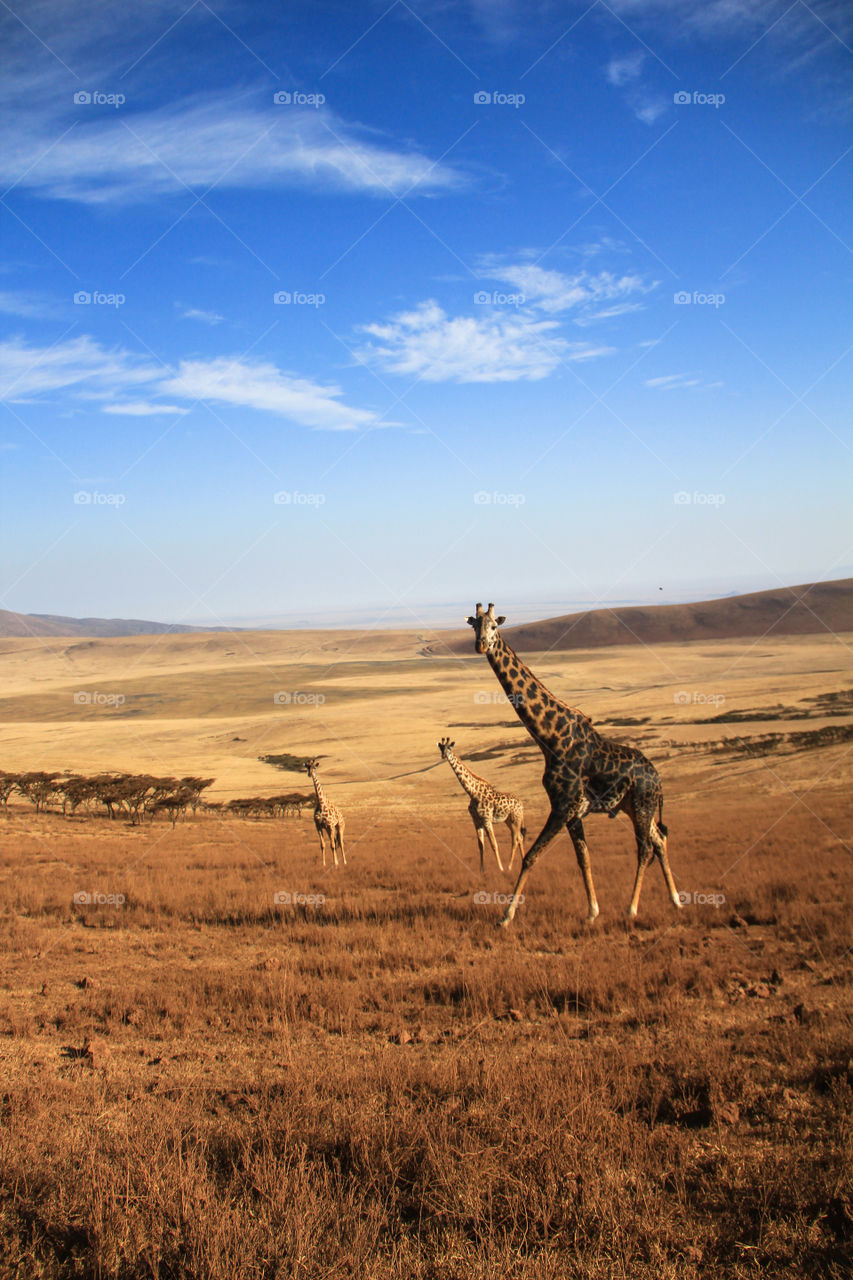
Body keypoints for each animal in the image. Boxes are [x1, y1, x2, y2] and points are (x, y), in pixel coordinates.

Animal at [437, 737, 526, 874]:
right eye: (441, 748)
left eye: (449, 748)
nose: (443, 756)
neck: (473, 793)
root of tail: (521, 804)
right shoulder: (476, 820)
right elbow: (481, 845)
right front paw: (482, 870)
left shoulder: (486, 819)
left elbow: (494, 844)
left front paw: (500, 868)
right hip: (508, 821)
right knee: (520, 837)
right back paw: (523, 860)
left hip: (516, 819)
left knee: (516, 839)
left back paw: (509, 867)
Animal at [466, 603, 681, 927]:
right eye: (474, 626)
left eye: (494, 626)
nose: (481, 645)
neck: (550, 738)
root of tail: (658, 779)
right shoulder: (573, 812)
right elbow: (584, 859)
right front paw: (592, 911)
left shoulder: (563, 806)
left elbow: (532, 855)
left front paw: (506, 916)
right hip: (632, 806)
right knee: (659, 839)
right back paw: (676, 900)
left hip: (642, 804)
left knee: (645, 847)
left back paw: (632, 909)